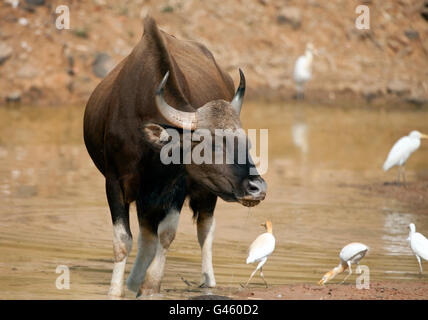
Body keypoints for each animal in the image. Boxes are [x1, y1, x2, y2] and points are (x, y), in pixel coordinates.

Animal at [82, 15, 266, 298]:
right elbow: (123, 239)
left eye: (245, 141)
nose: (257, 188)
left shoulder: (178, 184)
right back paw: (132, 282)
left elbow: (167, 234)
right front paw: (117, 289)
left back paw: (207, 281)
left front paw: (151, 285)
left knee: (204, 229)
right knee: (147, 236)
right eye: (211, 144)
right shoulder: (114, 183)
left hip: (205, 192)